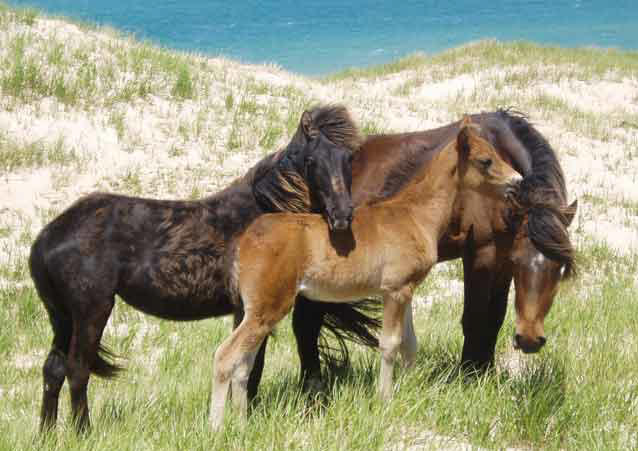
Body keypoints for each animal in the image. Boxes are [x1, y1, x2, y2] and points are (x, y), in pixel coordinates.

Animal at [30, 104, 376, 432]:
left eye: (348, 159)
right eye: (312, 160)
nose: (342, 215)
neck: (263, 214)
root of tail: (46, 238)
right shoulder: (249, 309)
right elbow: (250, 366)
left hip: (63, 318)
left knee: (54, 369)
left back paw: (46, 432)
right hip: (91, 311)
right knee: (78, 370)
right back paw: (83, 431)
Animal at [211, 116, 524, 428]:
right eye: (485, 160)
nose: (517, 181)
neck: (416, 214)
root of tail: (244, 242)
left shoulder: (404, 290)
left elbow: (409, 343)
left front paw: (408, 391)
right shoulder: (396, 289)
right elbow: (389, 343)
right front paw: (385, 399)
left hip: (256, 310)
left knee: (243, 364)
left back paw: (242, 422)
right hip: (269, 306)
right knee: (225, 356)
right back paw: (217, 426)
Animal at [296, 110, 580, 392]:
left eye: (560, 268)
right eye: (520, 261)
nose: (530, 340)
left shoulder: (501, 261)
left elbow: (494, 320)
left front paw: (486, 373)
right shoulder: (481, 256)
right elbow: (474, 319)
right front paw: (469, 377)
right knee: (305, 322)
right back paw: (312, 387)